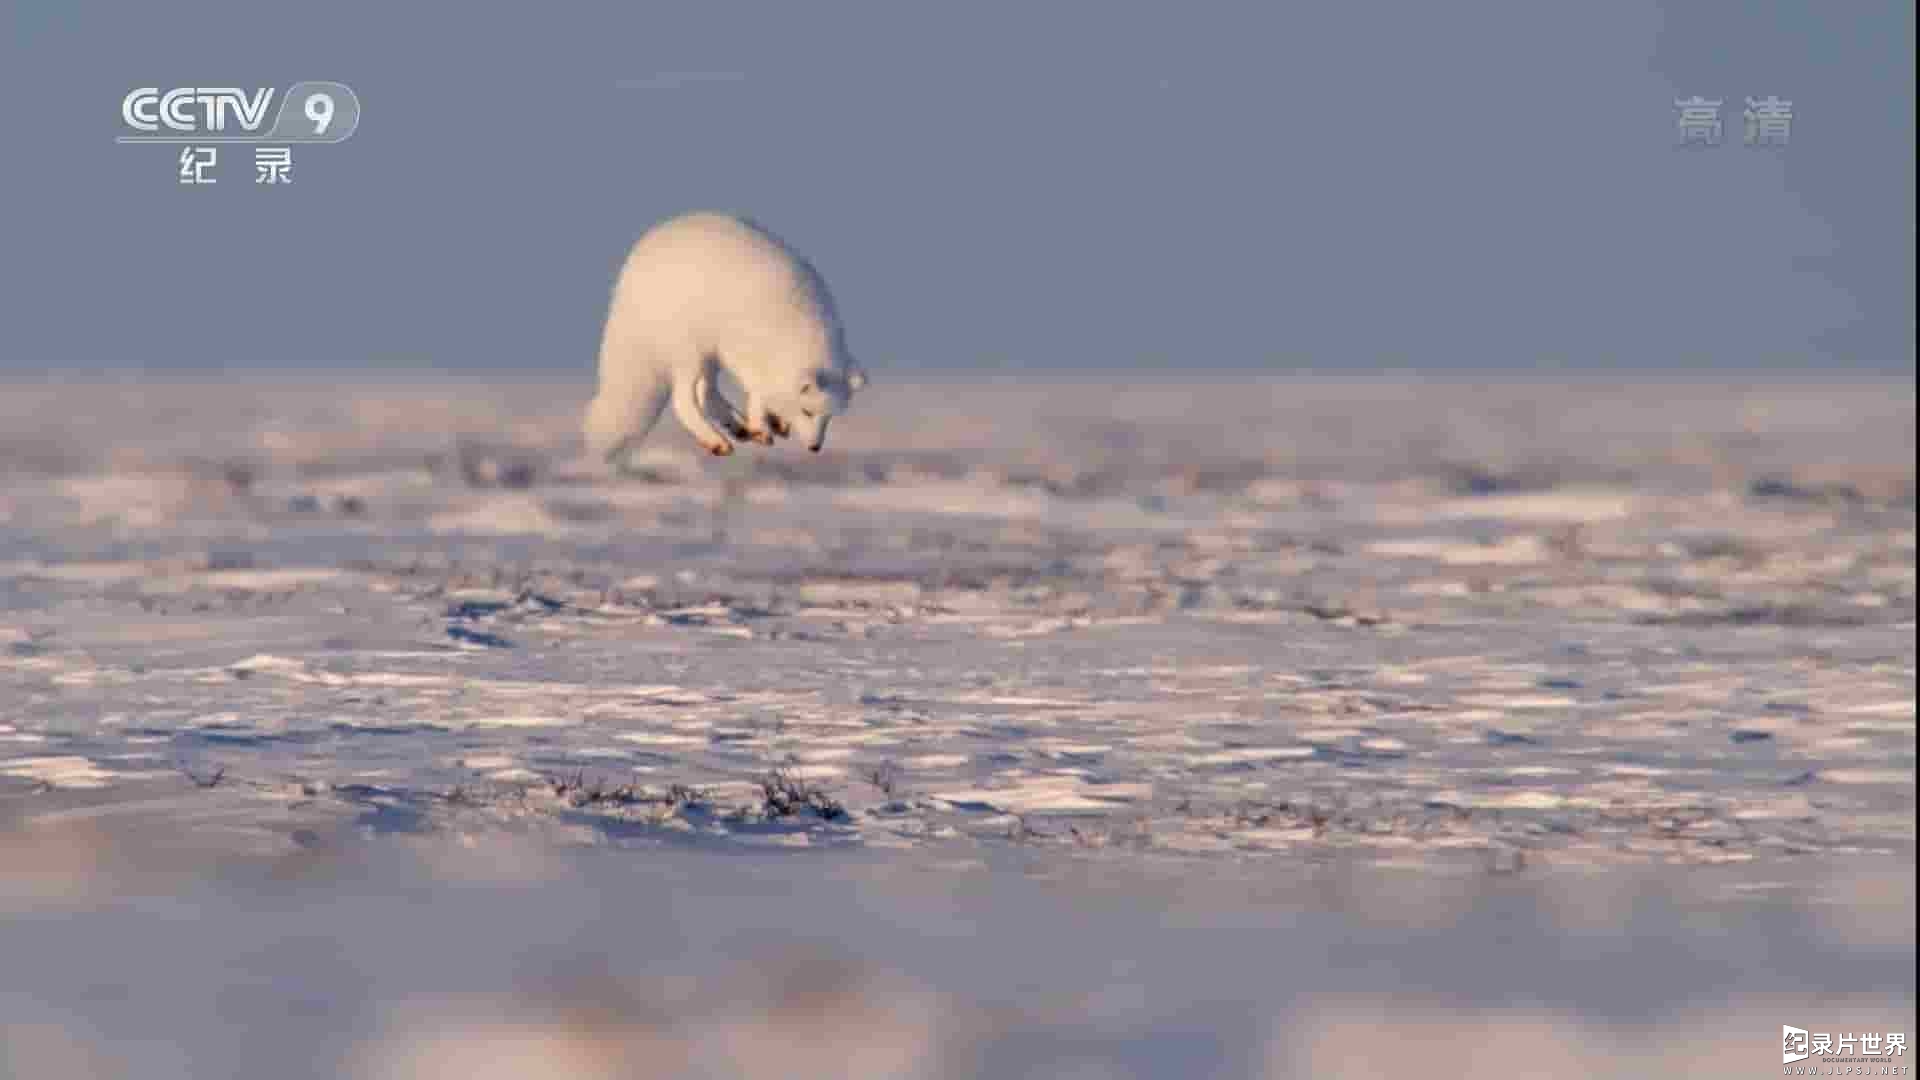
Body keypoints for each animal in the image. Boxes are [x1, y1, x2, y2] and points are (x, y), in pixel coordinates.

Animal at [579, 210, 875, 463]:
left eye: (829, 418)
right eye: (807, 411)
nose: (815, 448)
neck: (798, 330)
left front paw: (773, 422)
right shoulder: (744, 353)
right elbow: (757, 393)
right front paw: (762, 424)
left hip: (709, 356)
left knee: (706, 393)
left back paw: (737, 427)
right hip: (692, 352)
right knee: (684, 400)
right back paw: (717, 439)